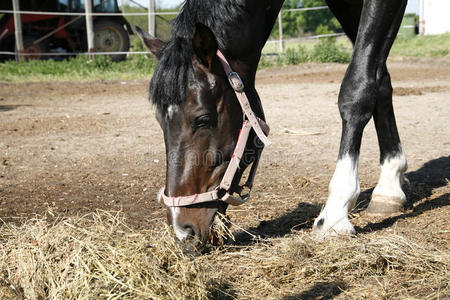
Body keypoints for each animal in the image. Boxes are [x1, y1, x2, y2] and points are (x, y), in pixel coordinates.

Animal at [136, 0, 408, 248]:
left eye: (202, 119)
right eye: (159, 121)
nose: (182, 230)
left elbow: (358, 88)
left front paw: (335, 214)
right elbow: (380, 81)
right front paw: (389, 187)